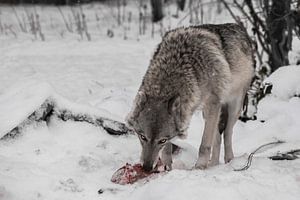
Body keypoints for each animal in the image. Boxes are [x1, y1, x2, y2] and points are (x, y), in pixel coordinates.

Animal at [125, 23, 254, 170]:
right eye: (142, 137)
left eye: (161, 140)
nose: (146, 168)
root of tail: (239, 26)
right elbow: (167, 150)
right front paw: (167, 167)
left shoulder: (212, 103)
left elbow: (204, 144)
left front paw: (199, 166)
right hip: (209, 113)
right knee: (217, 137)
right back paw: (214, 164)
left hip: (232, 107)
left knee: (227, 133)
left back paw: (229, 161)